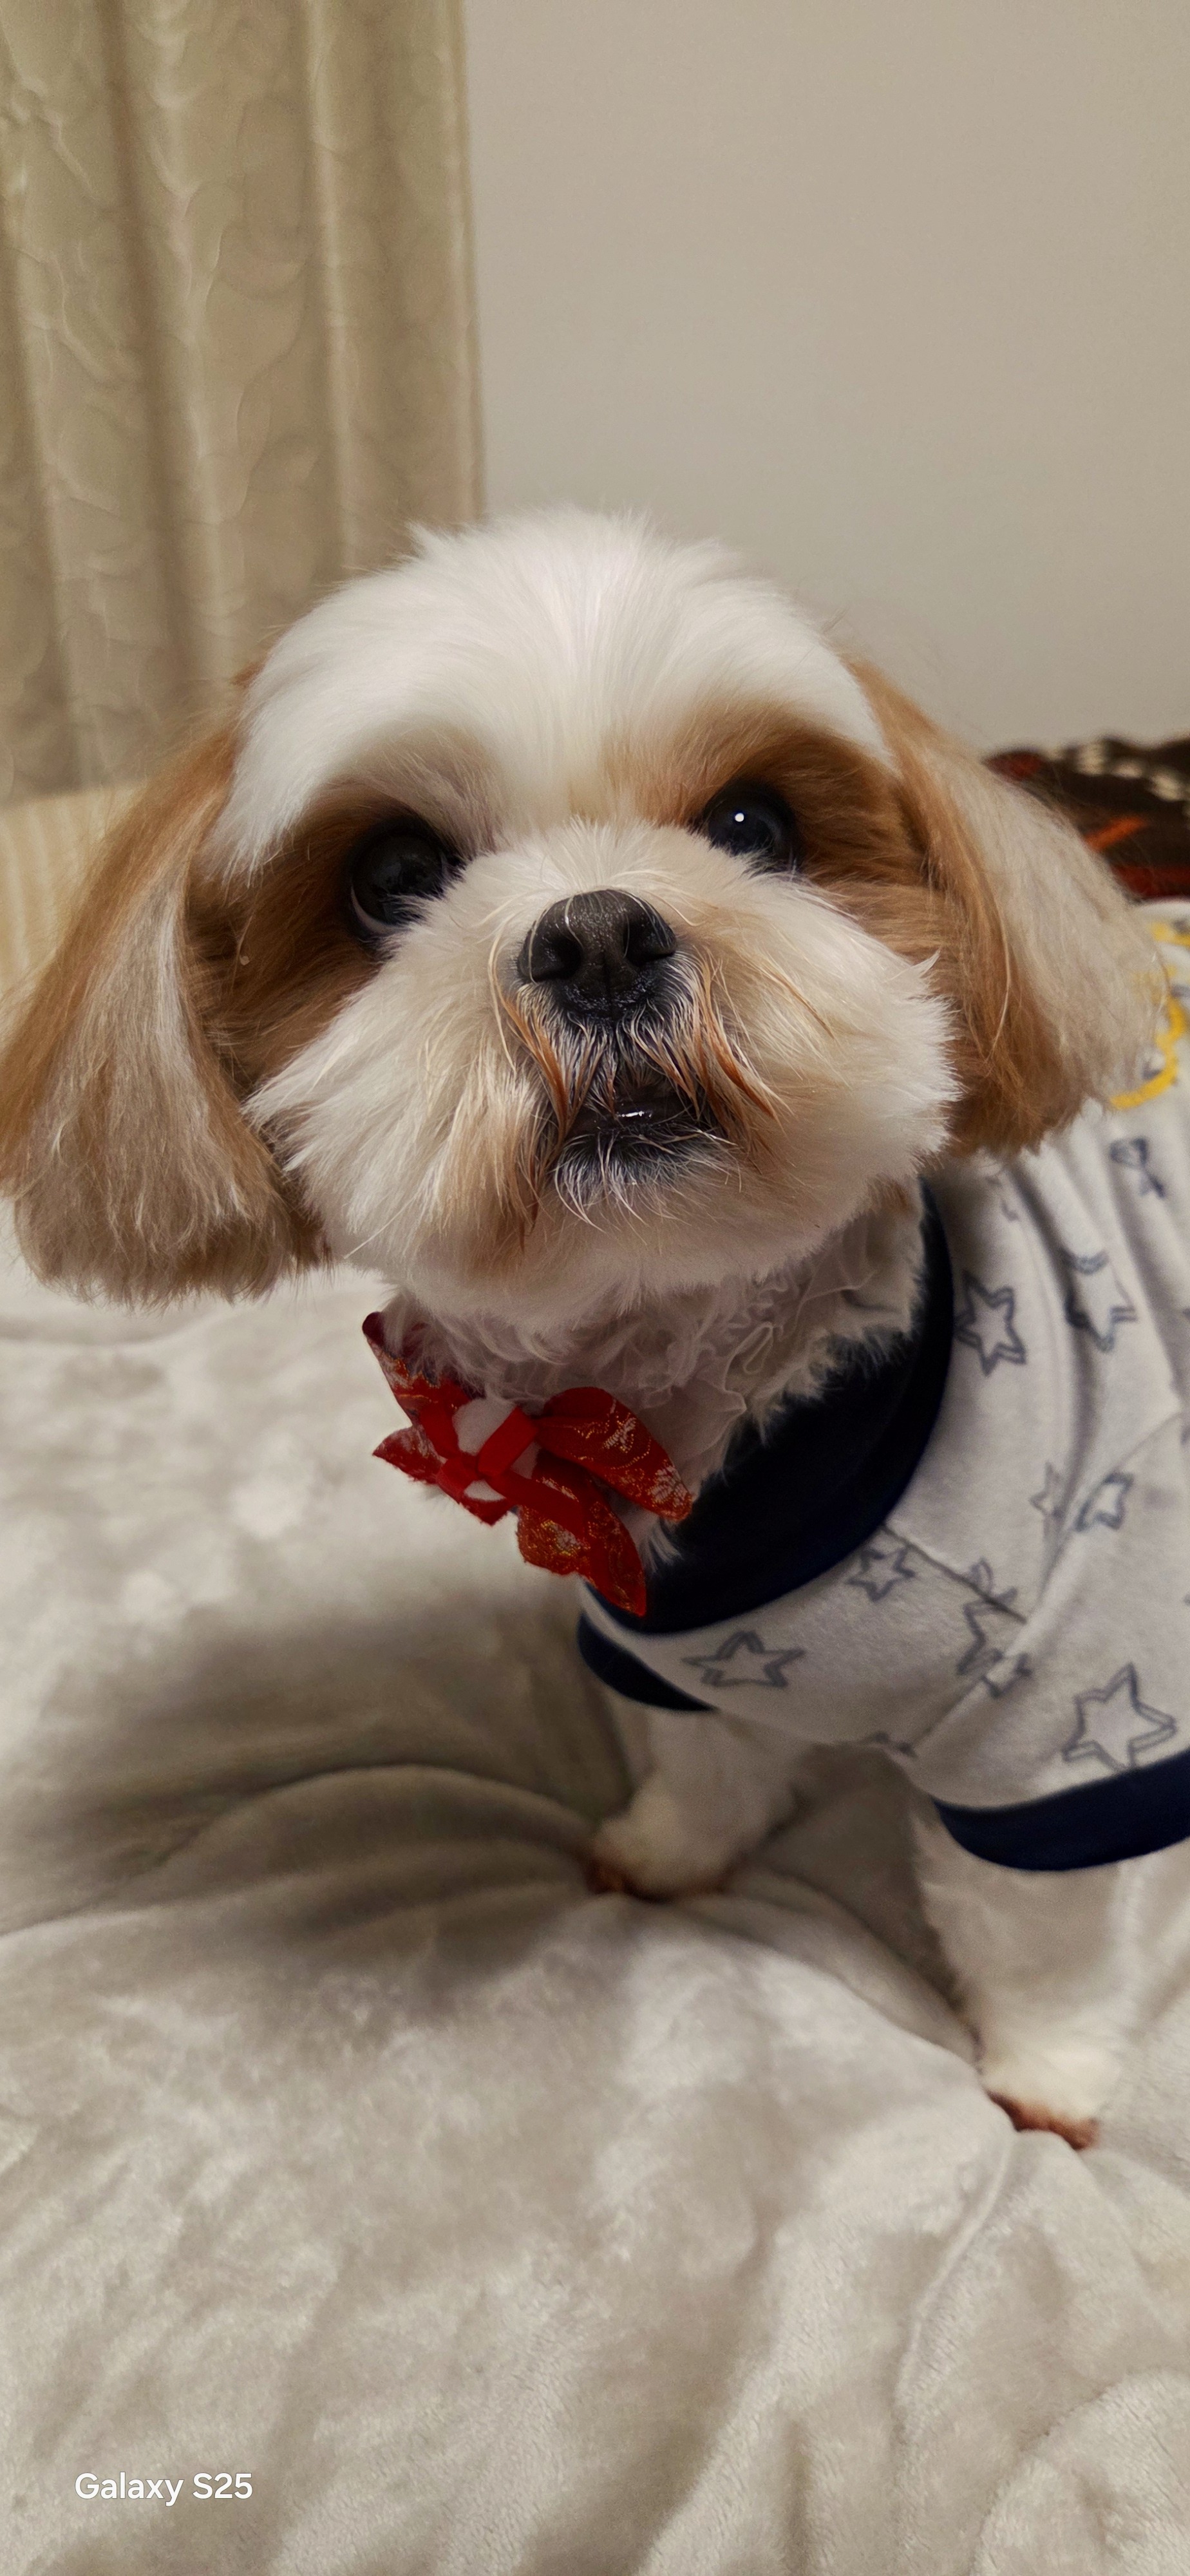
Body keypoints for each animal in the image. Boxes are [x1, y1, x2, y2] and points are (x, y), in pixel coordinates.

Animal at [3, 508, 1186, 2148]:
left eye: (754, 824)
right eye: (392, 875)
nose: (603, 934)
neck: (696, 1408)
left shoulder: (1066, 1697)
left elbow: (1038, 1918)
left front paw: (1053, 2073)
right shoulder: (670, 1637)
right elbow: (704, 1757)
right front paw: (672, 1851)